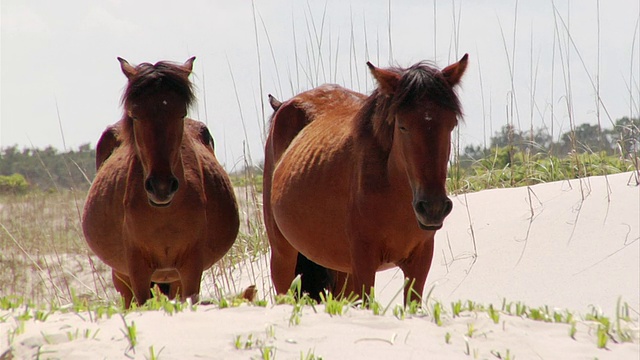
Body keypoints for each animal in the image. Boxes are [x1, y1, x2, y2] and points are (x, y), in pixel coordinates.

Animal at [81, 57, 239, 308]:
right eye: (135, 115)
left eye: (181, 114)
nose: (161, 187)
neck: (164, 214)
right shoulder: (137, 271)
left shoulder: (191, 268)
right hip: (122, 277)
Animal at [262, 54, 468, 304]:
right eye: (402, 126)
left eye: (451, 124)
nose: (433, 208)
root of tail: (282, 106)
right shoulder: (363, 263)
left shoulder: (420, 261)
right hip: (283, 258)